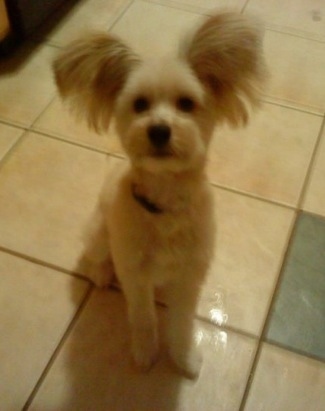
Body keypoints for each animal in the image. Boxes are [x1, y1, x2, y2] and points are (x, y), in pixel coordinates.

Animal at [53, 12, 266, 380]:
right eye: (139, 104)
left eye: (186, 103)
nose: (159, 130)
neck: (164, 205)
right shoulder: (135, 276)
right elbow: (143, 317)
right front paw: (145, 352)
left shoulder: (190, 277)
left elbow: (181, 324)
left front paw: (184, 359)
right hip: (99, 235)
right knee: (95, 257)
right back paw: (101, 274)